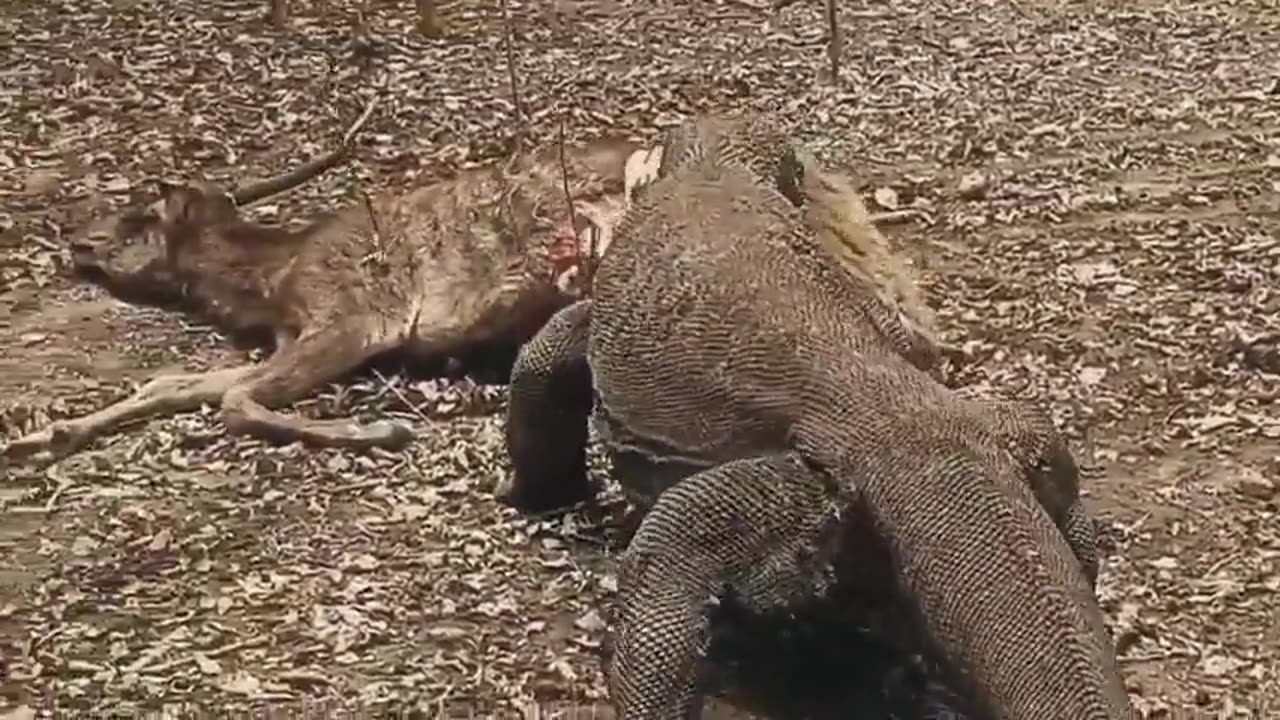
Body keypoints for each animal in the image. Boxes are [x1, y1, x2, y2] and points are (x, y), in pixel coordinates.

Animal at [0, 113, 640, 458]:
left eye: (139, 219)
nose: (75, 240)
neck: (266, 284)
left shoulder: (354, 317)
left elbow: (234, 401)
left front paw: (379, 427)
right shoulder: (294, 335)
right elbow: (175, 382)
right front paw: (47, 435)